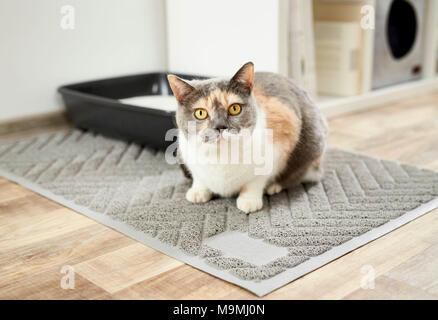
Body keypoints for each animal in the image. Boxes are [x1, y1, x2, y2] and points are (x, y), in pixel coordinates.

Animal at [168, 61, 328, 214]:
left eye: (235, 108)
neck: (221, 157)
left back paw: (274, 186)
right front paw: (198, 191)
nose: (220, 127)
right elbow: (199, 177)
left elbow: (256, 181)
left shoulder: (280, 141)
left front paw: (249, 200)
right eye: (200, 113)